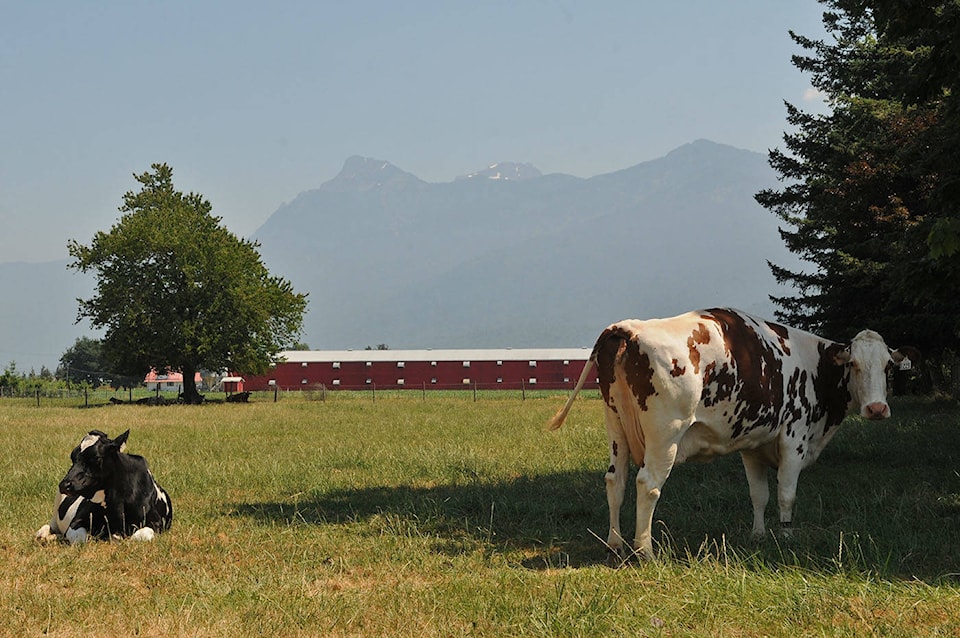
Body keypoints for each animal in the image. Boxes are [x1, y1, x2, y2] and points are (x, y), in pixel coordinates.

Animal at [34, 430, 173, 544]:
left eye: (96, 457)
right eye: (72, 456)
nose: (65, 485)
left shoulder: (156, 523)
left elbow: (138, 536)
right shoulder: (76, 521)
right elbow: (81, 538)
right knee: (50, 526)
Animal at [544, 308, 904, 564]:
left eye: (888, 367)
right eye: (853, 365)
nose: (876, 408)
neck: (815, 366)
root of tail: (628, 327)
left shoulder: (753, 445)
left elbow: (759, 495)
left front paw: (758, 535)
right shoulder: (794, 439)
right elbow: (786, 494)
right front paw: (786, 537)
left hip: (615, 427)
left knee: (614, 482)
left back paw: (614, 544)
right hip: (665, 434)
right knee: (647, 484)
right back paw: (644, 550)